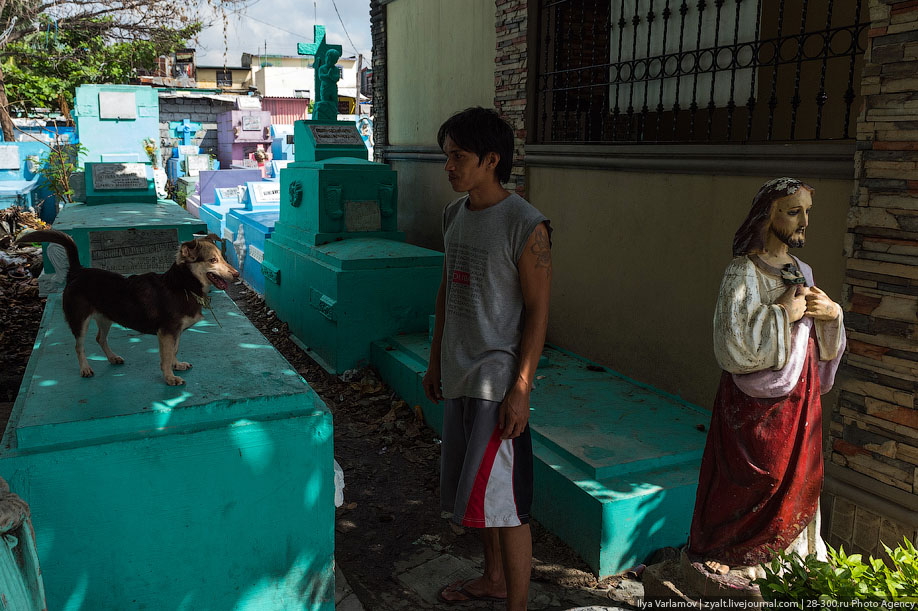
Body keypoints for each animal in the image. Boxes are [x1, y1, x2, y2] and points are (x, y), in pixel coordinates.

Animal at [19, 230, 241, 388]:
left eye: (223, 258)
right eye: (213, 260)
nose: (238, 274)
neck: (183, 285)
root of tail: (77, 271)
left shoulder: (175, 332)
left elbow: (174, 350)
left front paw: (176, 365)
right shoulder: (167, 332)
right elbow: (166, 356)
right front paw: (170, 377)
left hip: (106, 317)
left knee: (100, 338)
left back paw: (112, 357)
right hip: (79, 320)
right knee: (78, 346)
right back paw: (85, 368)